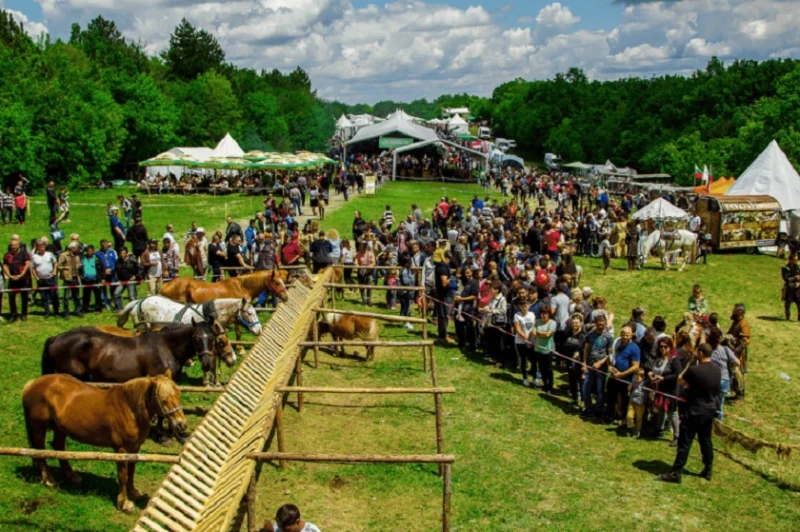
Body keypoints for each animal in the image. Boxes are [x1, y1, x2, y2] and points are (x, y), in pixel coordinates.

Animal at [21, 370, 186, 512]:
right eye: (163, 400)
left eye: (179, 394)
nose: (182, 425)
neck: (130, 408)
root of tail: (31, 384)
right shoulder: (121, 450)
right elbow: (123, 475)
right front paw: (124, 503)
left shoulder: (135, 447)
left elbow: (131, 471)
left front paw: (132, 492)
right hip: (39, 427)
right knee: (40, 451)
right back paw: (49, 480)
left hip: (60, 428)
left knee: (59, 448)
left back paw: (71, 476)